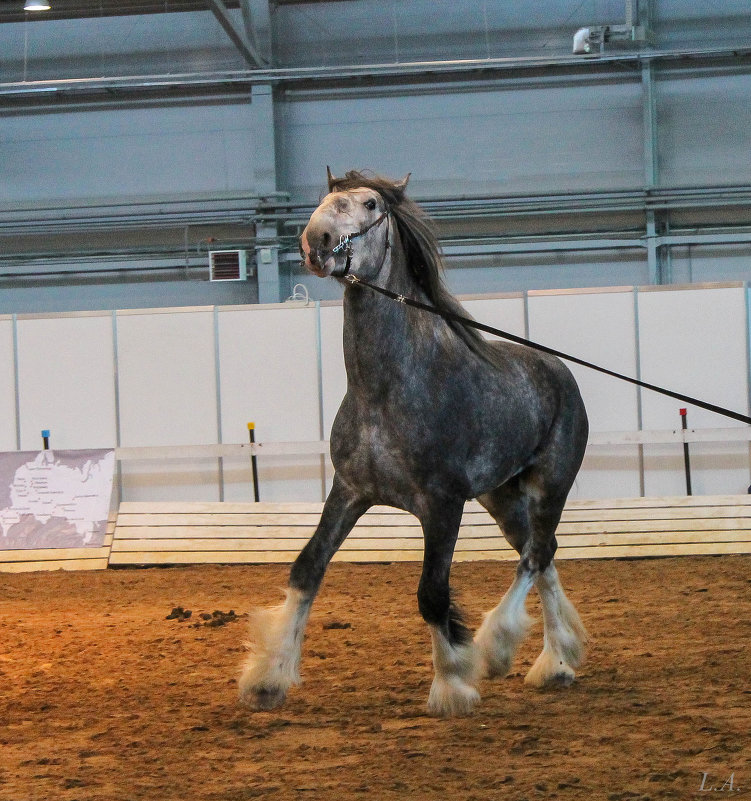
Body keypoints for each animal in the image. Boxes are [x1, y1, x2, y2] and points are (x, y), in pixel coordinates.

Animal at [238, 170, 592, 720]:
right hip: (500, 497)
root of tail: (558, 371)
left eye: (369, 204)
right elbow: (307, 570)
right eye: (325, 199)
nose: (316, 242)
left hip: (549, 486)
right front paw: (268, 678)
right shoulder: (350, 492)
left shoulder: (442, 505)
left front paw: (452, 685)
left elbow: (432, 594)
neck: (389, 389)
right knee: (542, 553)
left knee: (535, 555)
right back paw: (555, 662)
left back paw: (503, 647)